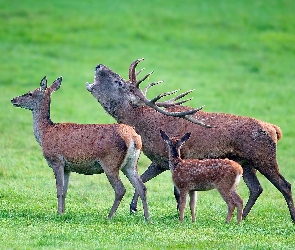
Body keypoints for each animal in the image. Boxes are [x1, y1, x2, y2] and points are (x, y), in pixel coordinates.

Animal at [11, 75, 150, 221]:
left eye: (30, 93)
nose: (13, 99)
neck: (45, 133)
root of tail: (134, 137)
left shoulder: (56, 160)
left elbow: (59, 190)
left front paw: (58, 213)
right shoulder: (67, 167)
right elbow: (65, 191)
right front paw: (63, 212)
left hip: (110, 162)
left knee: (120, 189)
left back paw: (109, 216)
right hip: (131, 164)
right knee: (142, 187)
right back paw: (147, 218)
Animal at [85, 58, 295, 223]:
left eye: (118, 82)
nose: (98, 65)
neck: (146, 126)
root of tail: (275, 130)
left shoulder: (178, 157)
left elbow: (176, 191)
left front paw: (180, 214)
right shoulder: (159, 161)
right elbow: (143, 180)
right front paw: (133, 207)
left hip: (264, 157)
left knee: (284, 185)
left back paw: (291, 217)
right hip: (246, 162)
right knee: (256, 188)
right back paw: (243, 216)